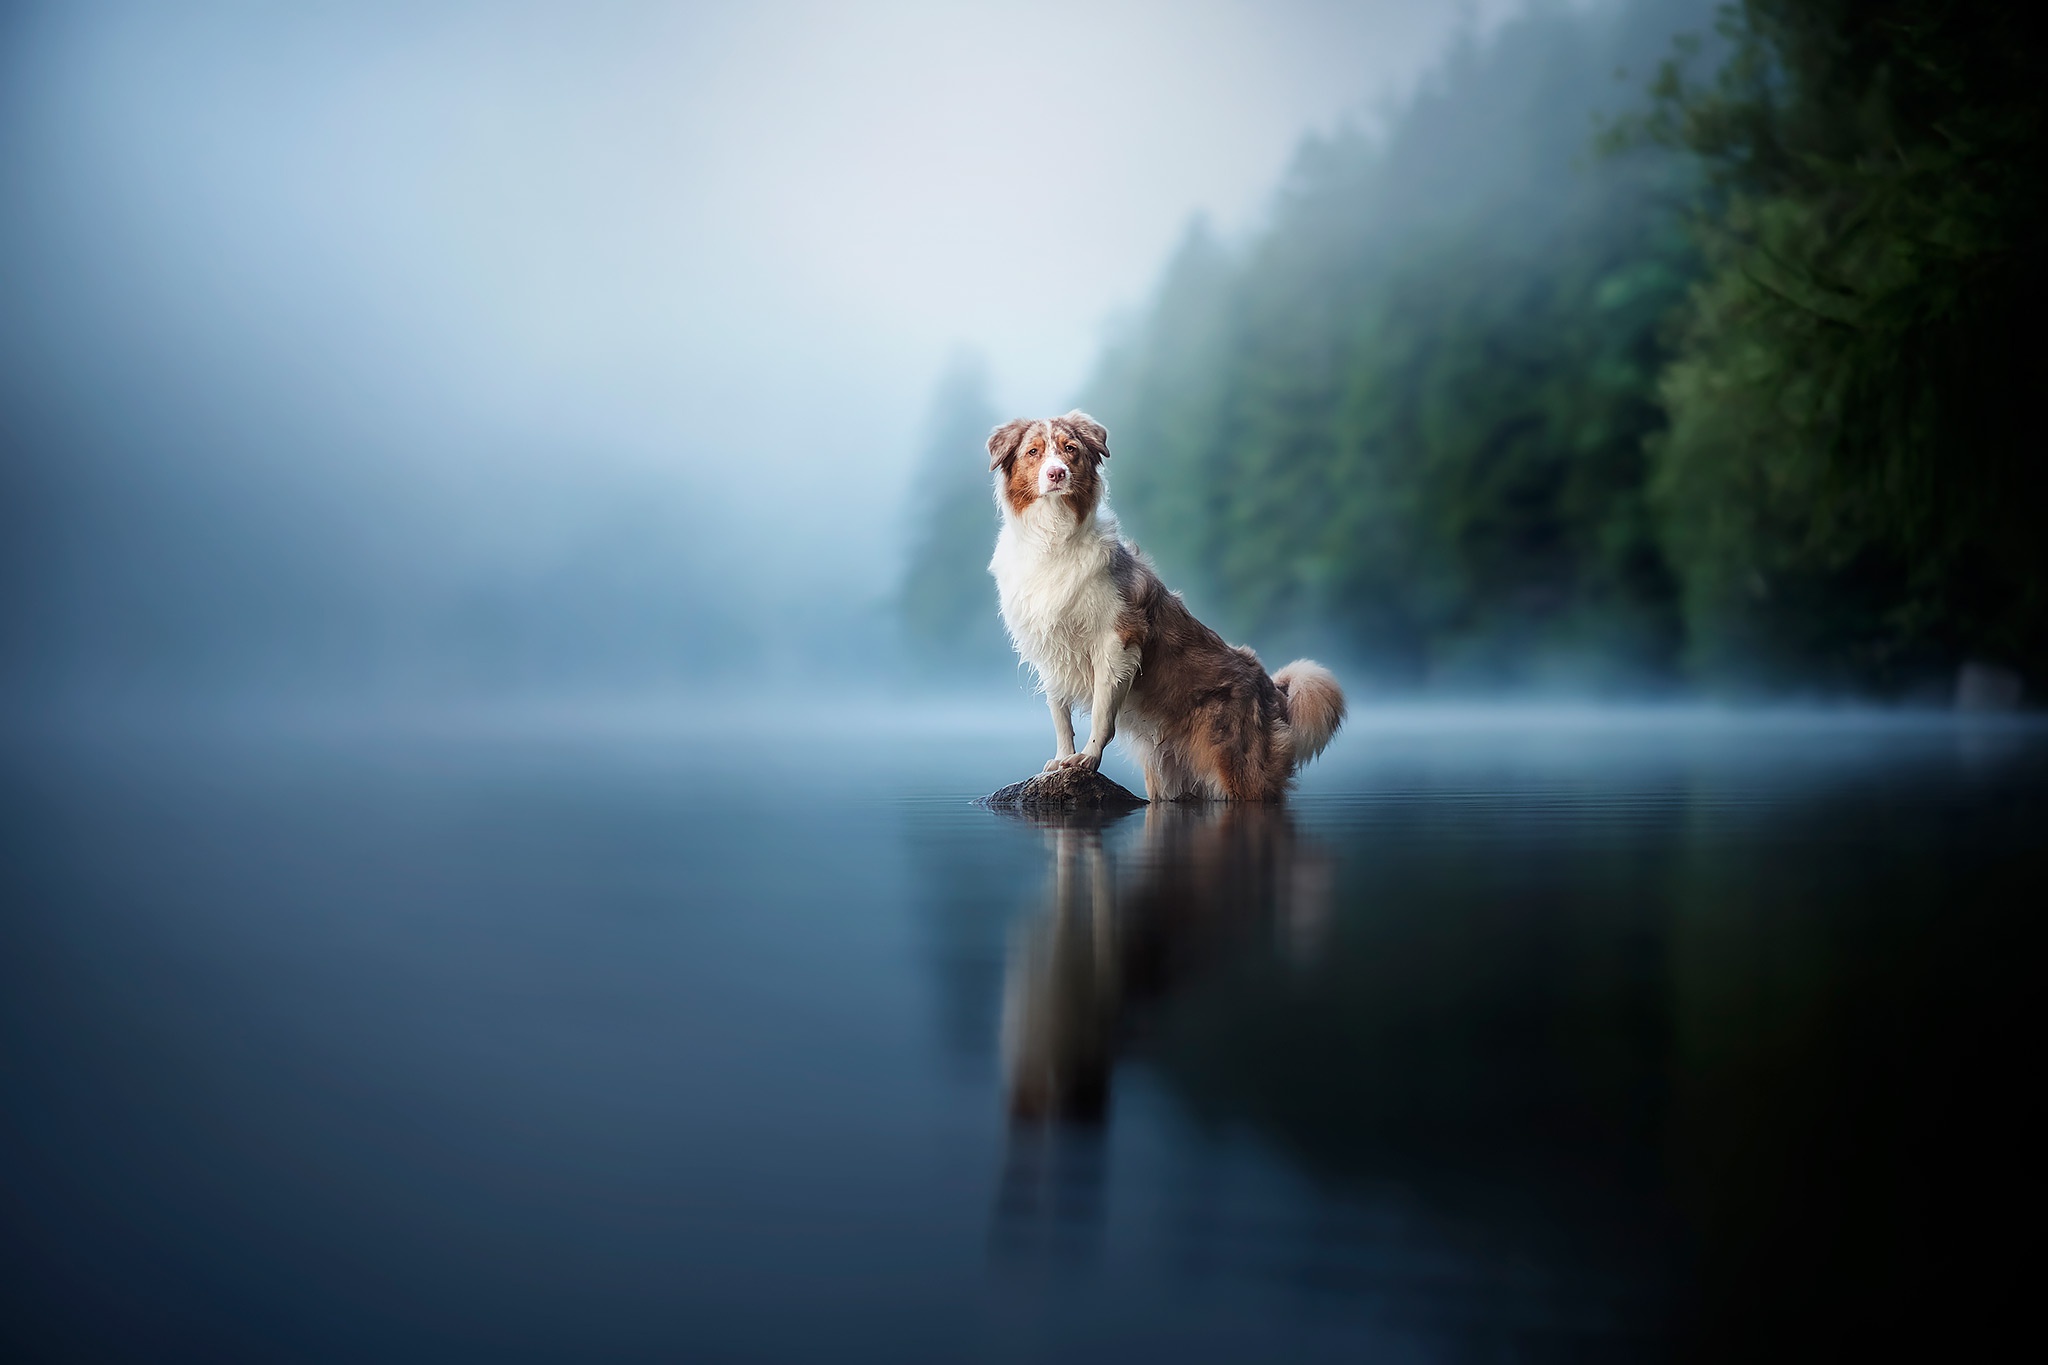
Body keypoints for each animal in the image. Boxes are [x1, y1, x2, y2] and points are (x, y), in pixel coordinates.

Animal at [987, 411, 1343, 806]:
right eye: (1033, 452)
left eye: (1071, 449)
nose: (1056, 473)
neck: (1053, 537)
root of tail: (1271, 689)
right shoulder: (1049, 648)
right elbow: (1060, 717)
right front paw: (1063, 758)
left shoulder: (1119, 638)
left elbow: (1101, 713)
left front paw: (1088, 759)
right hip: (1165, 779)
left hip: (1238, 772)